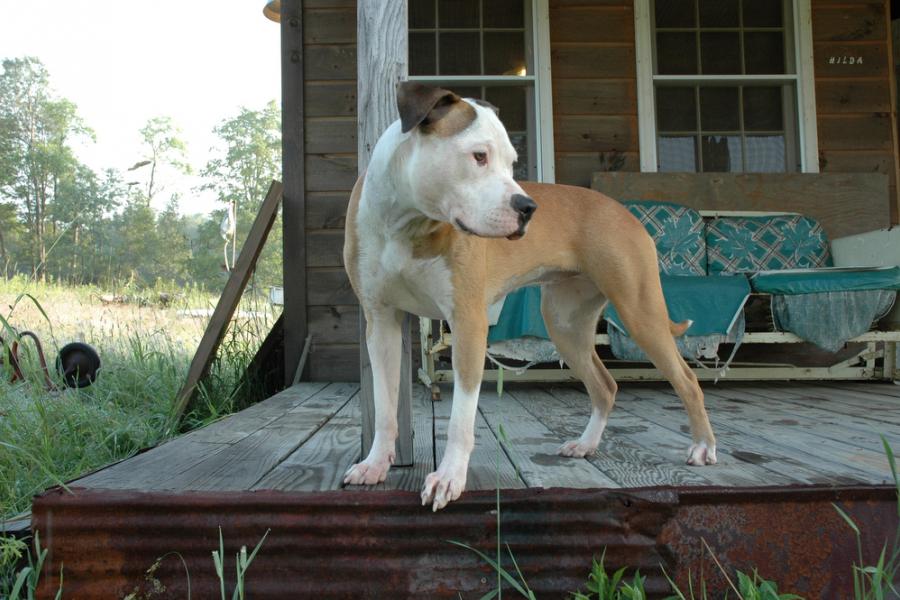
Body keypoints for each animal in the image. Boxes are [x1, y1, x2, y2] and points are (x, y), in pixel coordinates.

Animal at [344, 81, 716, 510]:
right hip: (566, 325)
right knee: (605, 386)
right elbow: (385, 406)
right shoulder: (381, 322)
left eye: (512, 163)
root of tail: (623, 210)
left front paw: (449, 477)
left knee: (686, 380)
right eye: (479, 156)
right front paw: (375, 465)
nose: (528, 207)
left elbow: (460, 418)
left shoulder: (468, 323)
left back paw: (703, 447)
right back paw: (585, 445)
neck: (407, 222)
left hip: (640, 312)